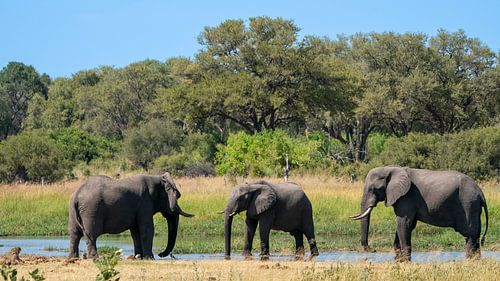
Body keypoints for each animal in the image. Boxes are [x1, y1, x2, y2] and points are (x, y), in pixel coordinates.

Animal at [352, 166, 488, 260]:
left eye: (373, 189)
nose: (373, 250)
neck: (389, 168)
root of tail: (480, 193)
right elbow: (407, 225)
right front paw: (399, 260)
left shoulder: (406, 197)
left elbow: (403, 224)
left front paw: (405, 261)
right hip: (473, 207)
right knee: (476, 237)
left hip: (468, 204)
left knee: (470, 235)